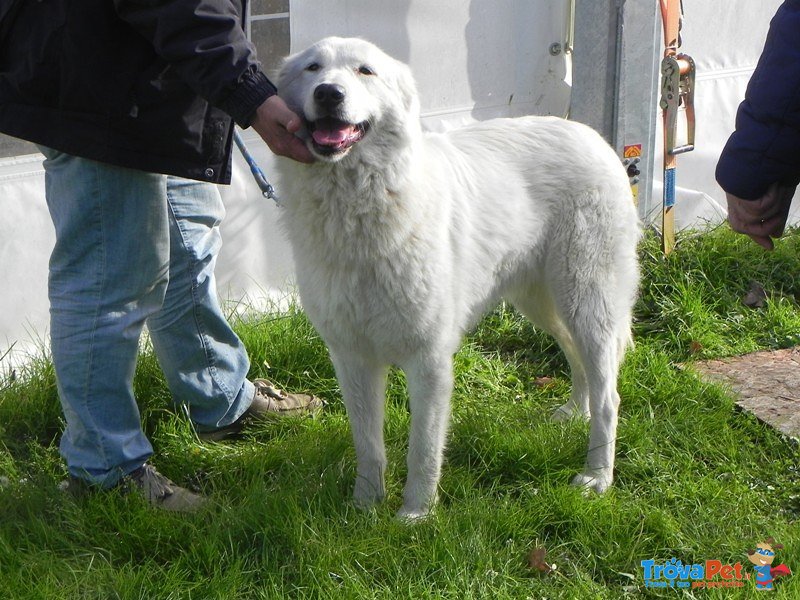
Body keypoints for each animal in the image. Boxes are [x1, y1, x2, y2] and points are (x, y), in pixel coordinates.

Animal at [272, 37, 640, 516]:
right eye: (312, 69)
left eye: (365, 71)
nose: (329, 94)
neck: (360, 205)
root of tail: (591, 136)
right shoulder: (352, 357)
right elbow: (368, 445)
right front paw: (365, 508)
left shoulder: (428, 360)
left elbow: (424, 448)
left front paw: (415, 514)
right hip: (545, 303)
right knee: (579, 362)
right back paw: (575, 413)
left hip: (587, 300)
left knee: (609, 395)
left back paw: (597, 476)